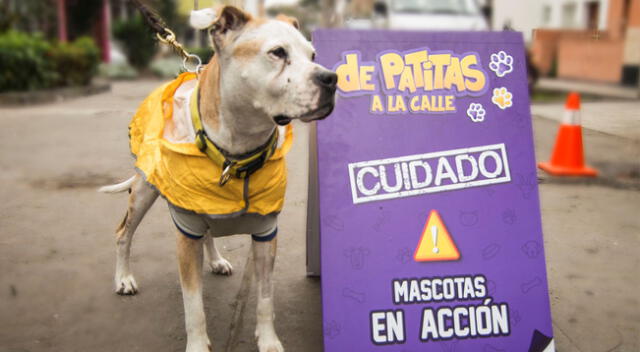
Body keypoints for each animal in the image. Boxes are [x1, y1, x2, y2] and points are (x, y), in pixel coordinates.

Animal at [98, 6, 338, 352]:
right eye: (278, 53)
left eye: (313, 54)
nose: (331, 78)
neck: (237, 151)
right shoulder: (186, 236)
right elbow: (193, 305)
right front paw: (198, 345)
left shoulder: (266, 235)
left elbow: (266, 299)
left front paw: (268, 341)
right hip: (144, 190)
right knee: (123, 234)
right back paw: (123, 279)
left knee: (208, 232)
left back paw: (215, 260)